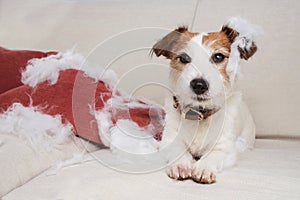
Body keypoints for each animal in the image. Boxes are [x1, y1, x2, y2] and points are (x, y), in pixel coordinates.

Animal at [151, 17, 258, 184]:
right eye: (184, 58)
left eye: (218, 57)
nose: (199, 85)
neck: (199, 115)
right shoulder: (170, 140)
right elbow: (177, 150)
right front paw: (181, 164)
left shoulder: (225, 148)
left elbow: (213, 155)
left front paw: (203, 167)